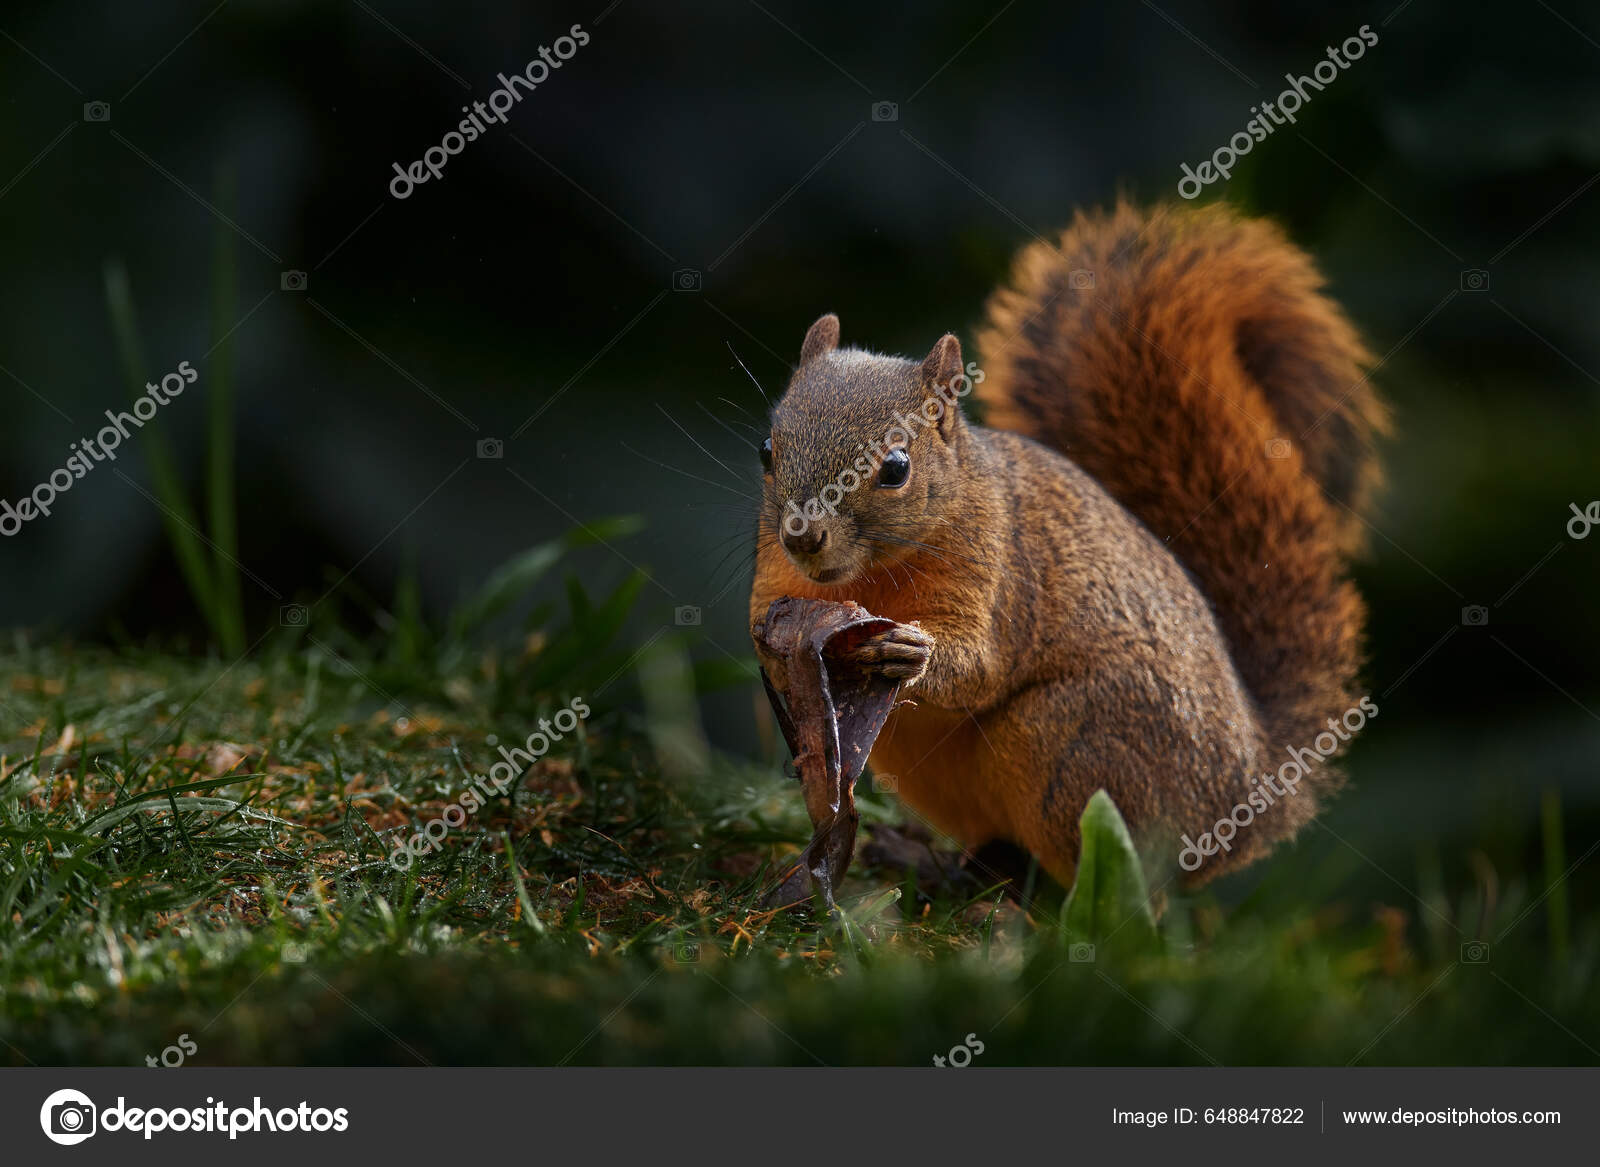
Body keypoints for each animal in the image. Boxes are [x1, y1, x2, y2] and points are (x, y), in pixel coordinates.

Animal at [749, 201, 1386, 886]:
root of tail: (1242, 800)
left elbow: (980, 665)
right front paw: (778, 650)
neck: (867, 578)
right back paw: (933, 864)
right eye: (766, 450)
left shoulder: (998, 572)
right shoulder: (775, 572)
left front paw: (913, 654)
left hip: (1070, 745)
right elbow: (763, 631)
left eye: (895, 468)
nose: (803, 536)